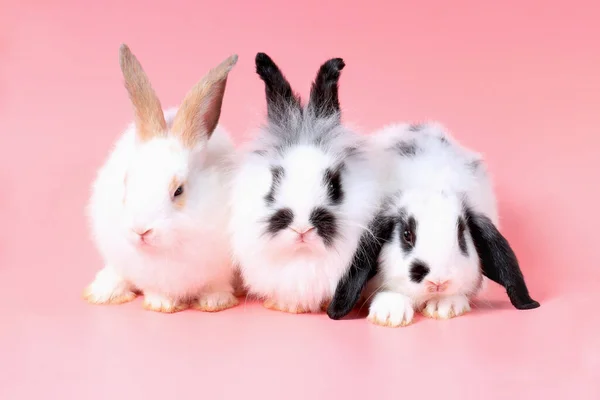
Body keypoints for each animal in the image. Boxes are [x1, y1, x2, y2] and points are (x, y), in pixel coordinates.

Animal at [82, 43, 241, 312]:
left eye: (179, 190)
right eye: (127, 183)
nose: (141, 231)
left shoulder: (219, 269)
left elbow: (216, 286)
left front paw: (215, 302)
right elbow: (156, 290)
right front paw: (162, 304)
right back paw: (104, 292)